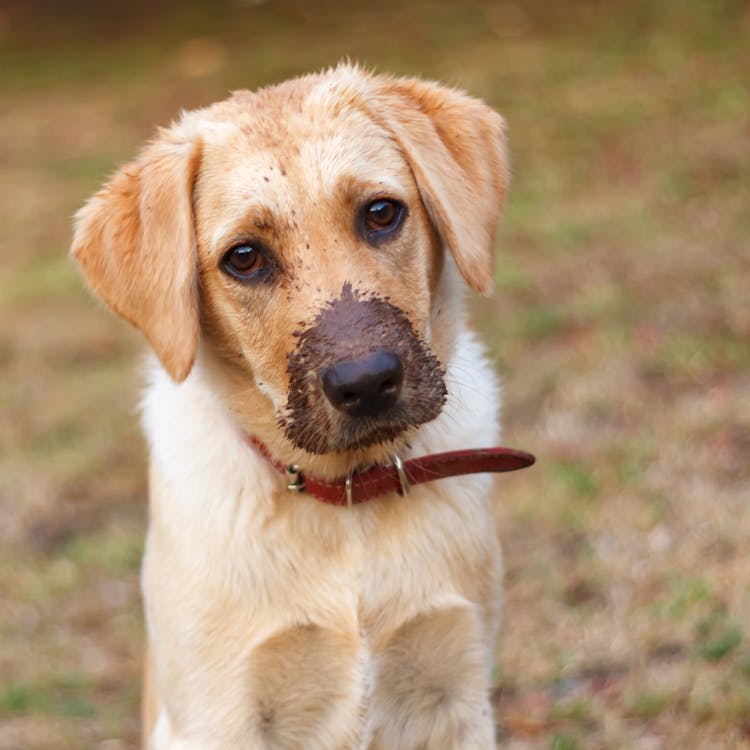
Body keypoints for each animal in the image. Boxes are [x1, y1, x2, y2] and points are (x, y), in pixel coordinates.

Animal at [70, 63, 532, 750]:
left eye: (381, 213)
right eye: (244, 257)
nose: (367, 382)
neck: (347, 498)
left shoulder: (455, 690)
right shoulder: (221, 712)